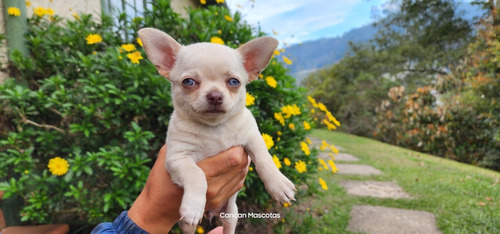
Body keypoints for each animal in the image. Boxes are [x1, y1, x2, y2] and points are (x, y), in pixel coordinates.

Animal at [138, 28, 296, 233]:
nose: (215, 96)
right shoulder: (177, 158)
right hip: (186, 224)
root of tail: (211, 212)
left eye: (234, 82)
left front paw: (279, 184)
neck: (214, 128)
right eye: (188, 82)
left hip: (231, 214)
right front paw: (193, 205)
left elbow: (264, 159)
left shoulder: (253, 138)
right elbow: (196, 174)